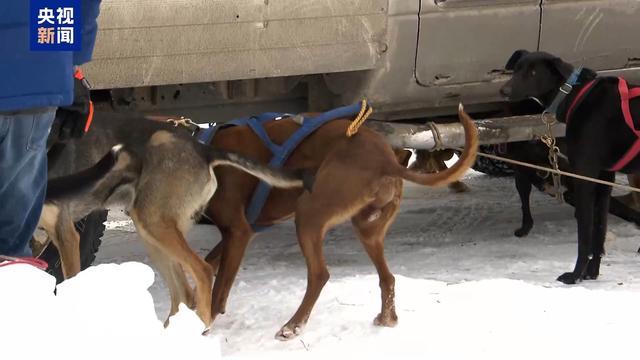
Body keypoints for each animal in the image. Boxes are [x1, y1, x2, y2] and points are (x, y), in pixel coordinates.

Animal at [199, 103, 476, 338]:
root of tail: (386, 161)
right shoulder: (244, 231)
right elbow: (208, 264)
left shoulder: (238, 231)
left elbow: (219, 289)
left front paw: (205, 325)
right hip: (367, 228)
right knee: (387, 278)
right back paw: (387, 319)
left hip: (309, 213)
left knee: (320, 275)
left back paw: (292, 326)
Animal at [500, 50, 640, 284]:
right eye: (516, 69)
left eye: (533, 72)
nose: (503, 91)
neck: (575, 95)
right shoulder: (604, 178)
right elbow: (599, 231)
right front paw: (591, 273)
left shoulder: (584, 178)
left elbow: (585, 235)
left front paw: (575, 275)